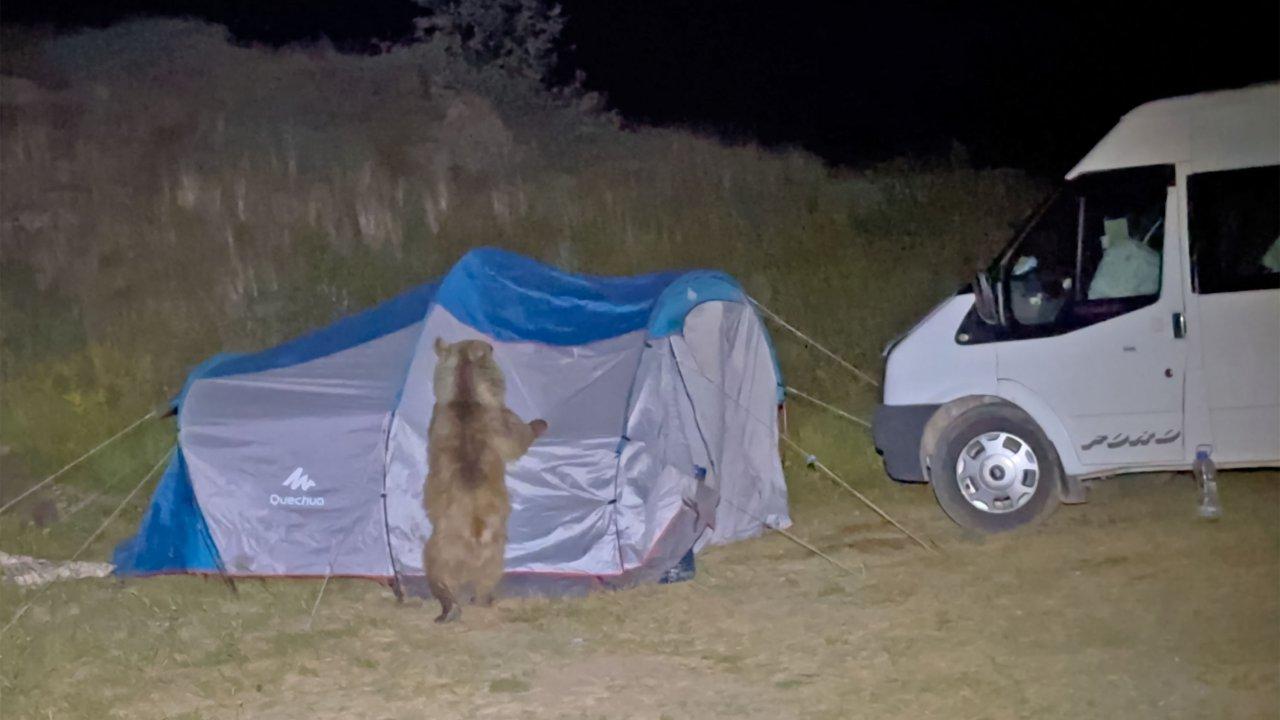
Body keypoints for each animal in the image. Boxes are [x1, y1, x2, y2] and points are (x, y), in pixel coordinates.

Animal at [424, 333, 545, 620]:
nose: (490, 344)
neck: (464, 394)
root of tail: (476, 528)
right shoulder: (497, 419)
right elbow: (516, 440)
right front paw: (538, 424)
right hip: (481, 548)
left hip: (461, 547)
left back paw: (457, 603)